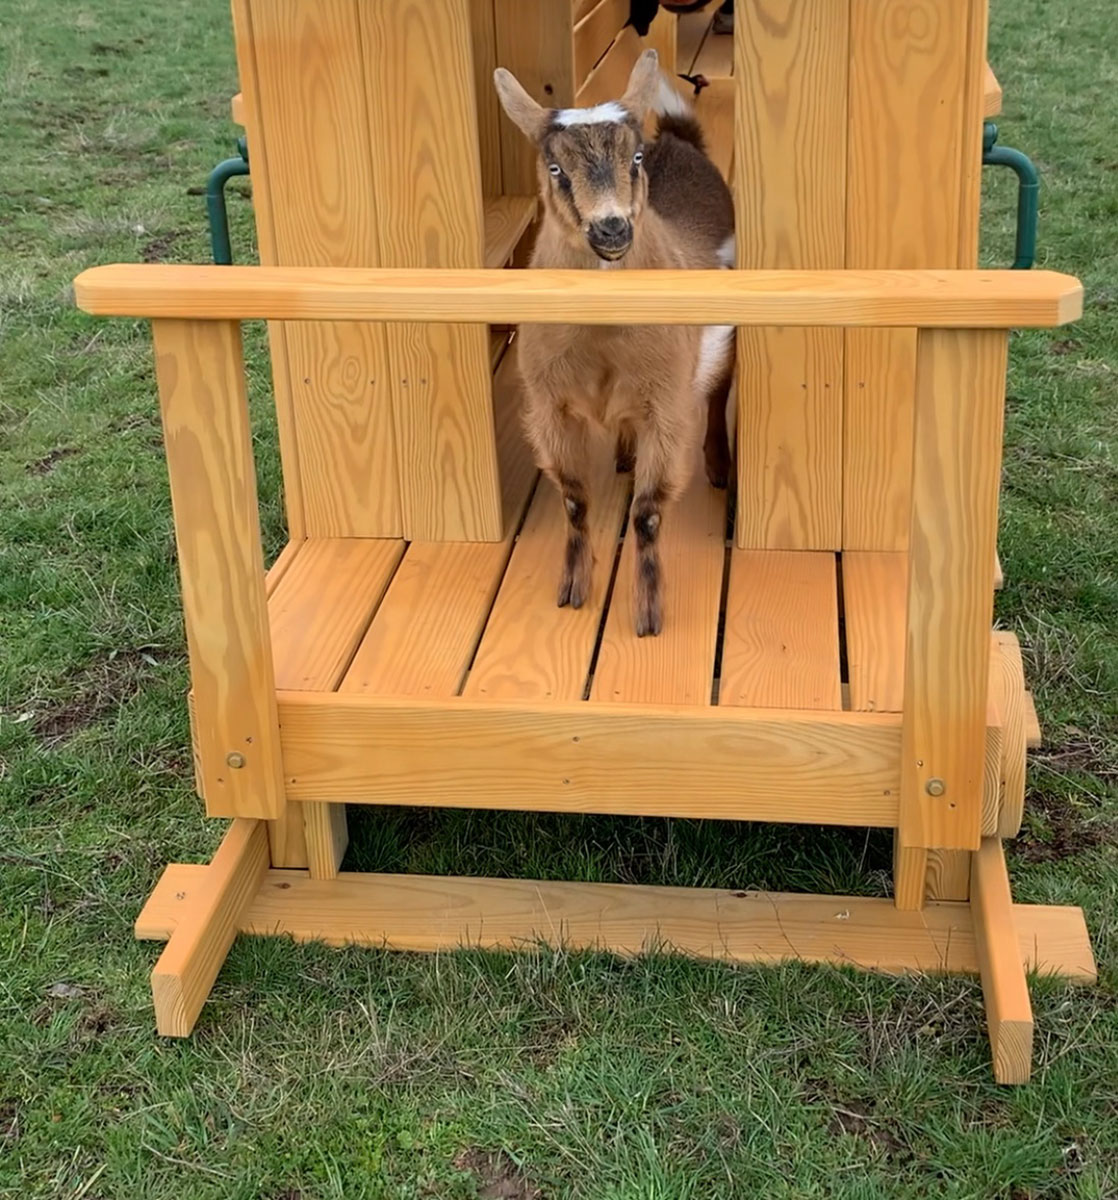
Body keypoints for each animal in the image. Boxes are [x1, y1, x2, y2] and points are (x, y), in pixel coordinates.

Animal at [494, 49, 735, 637]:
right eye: (555, 168)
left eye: (635, 159)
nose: (611, 229)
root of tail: (681, 140)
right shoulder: (548, 405)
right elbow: (575, 502)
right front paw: (572, 591)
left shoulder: (667, 406)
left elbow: (647, 513)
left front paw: (648, 615)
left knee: (720, 389)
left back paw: (719, 465)